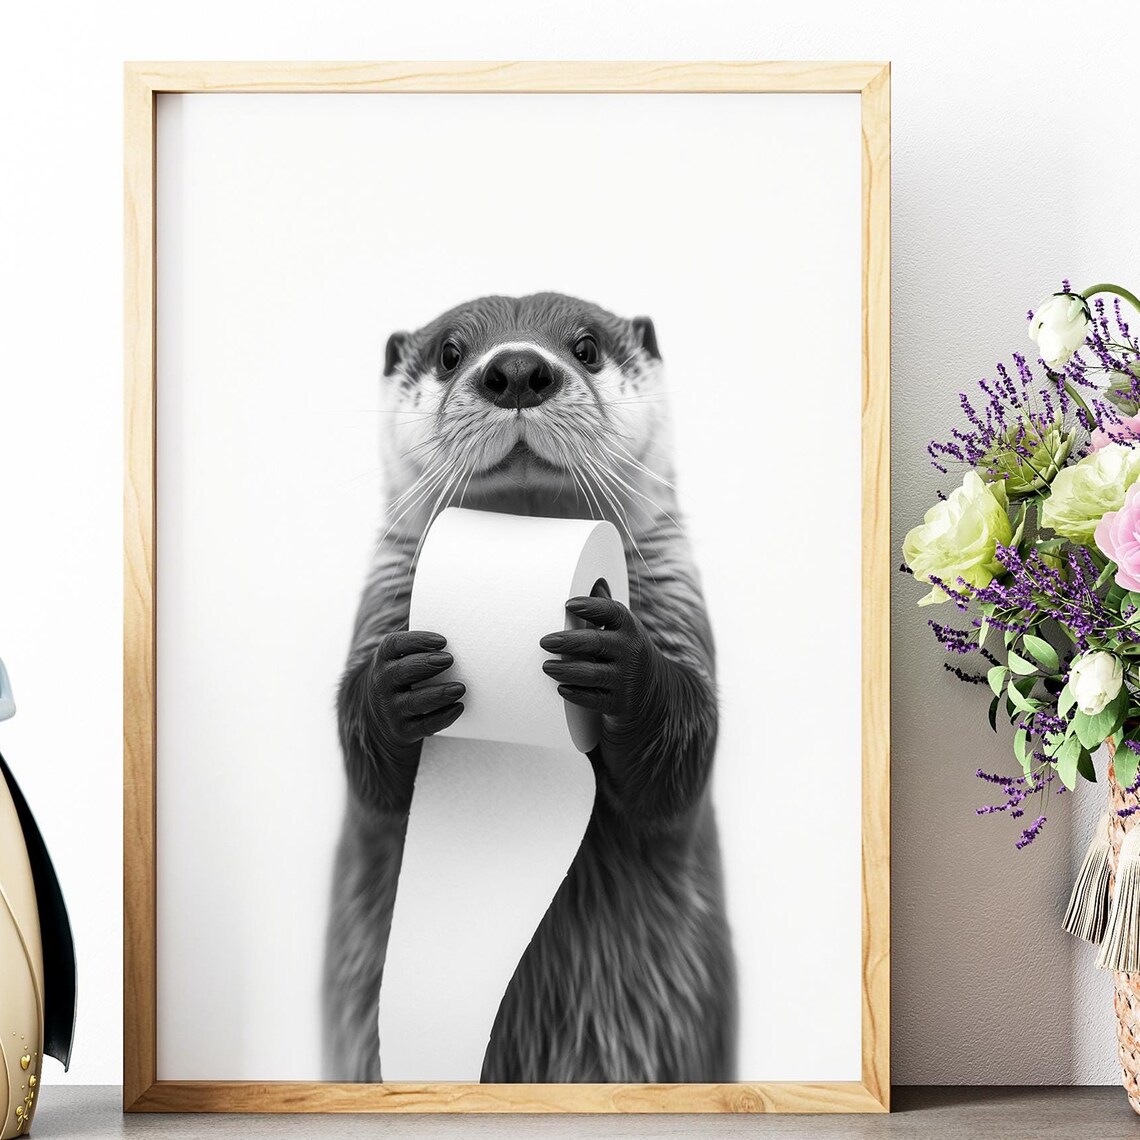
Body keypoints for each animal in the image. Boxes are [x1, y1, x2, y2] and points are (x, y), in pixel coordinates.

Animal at [323, 293, 735, 1083]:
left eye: (586, 346)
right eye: (451, 352)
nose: (516, 369)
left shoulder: (680, 604)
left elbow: (680, 761)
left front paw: (618, 663)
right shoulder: (382, 601)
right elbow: (371, 782)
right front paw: (396, 686)